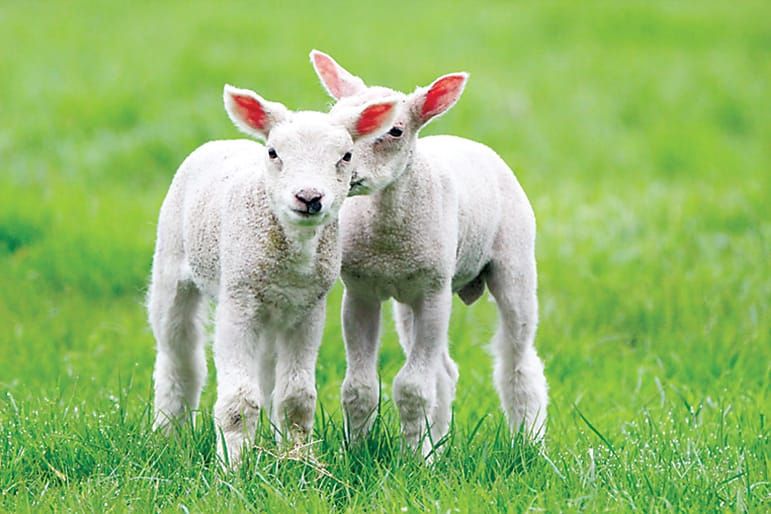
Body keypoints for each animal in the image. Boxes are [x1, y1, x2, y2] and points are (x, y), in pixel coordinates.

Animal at [148, 83, 398, 466]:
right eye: (273, 152)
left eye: (346, 156)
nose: (309, 197)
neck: (294, 254)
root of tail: (220, 142)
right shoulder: (238, 300)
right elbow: (238, 401)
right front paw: (233, 467)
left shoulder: (309, 309)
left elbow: (296, 397)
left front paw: (298, 458)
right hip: (172, 264)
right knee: (179, 358)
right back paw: (167, 436)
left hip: (272, 312)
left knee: (266, 372)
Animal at [310, 50, 549, 456]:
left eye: (395, 130)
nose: (345, 173)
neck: (387, 239)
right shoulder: (360, 291)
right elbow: (360, 388)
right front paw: (356, 452)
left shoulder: (433, 291)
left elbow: (412, 388)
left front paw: (412, 461)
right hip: (409, 298)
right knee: (445, 373)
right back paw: (436, 446)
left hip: (513, 263)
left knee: (519, 362)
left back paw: (529, 441)